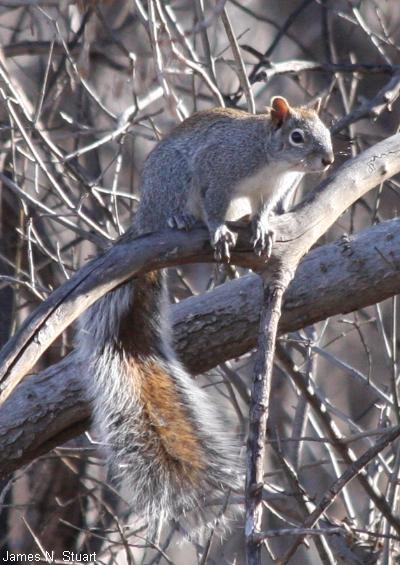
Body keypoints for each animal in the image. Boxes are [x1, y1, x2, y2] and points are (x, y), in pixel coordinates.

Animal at [76, 94, 332, 532]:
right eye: (297, 136)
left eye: (327, 132)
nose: (328, 159)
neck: (273, 162)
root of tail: (144, 216)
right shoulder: (220, 173)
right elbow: (214, 209)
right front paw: (218, 231)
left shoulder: (268, 195)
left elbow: (263, 212)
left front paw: (260, 228)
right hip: (175, 181)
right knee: (179, 209)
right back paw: (181, 219)